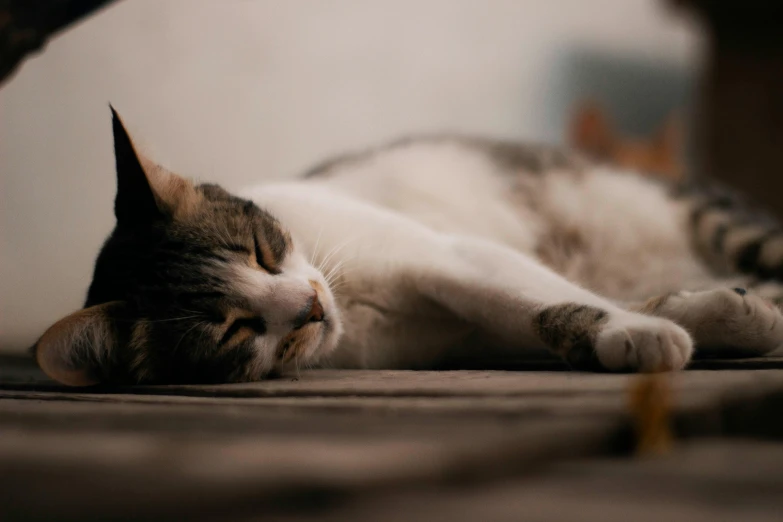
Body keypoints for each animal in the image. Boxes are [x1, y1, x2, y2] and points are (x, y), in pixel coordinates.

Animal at [33, 108, 783, 386]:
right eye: (235, 330)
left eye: (262, 252)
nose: (308, 307)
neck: (355, 306)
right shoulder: (473, 326)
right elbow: (552, 308)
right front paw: (682, 322)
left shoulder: (451, 253)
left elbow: (538, 297)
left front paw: (685, 321)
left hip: (720, 222)